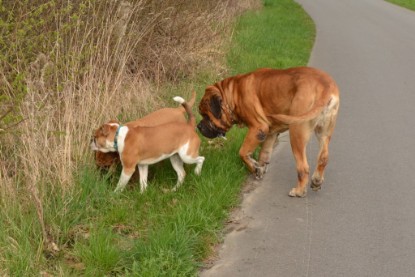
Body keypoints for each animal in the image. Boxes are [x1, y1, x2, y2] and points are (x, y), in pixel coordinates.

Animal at [199, 66, 342, 196]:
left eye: (205, 115)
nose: (199, 127)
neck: (233, 92)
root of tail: (325, 87)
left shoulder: (258, 128)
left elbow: (243, 152)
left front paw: (253, 167)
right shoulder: (270, 134)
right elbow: (264, 154)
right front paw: (258, 168)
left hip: (297, 132)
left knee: (303, 167)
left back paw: (299, 191)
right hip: (324, 132)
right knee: (323, 158)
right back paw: (316, 181)